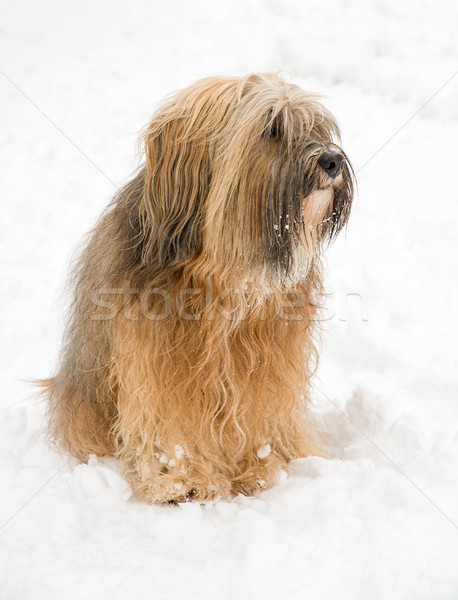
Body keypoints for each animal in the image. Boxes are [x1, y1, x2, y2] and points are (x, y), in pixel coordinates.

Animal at [43, 72, 354, 504]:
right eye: (272, 129)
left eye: (318, 128)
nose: (333, 160)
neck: (224, 268)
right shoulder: (158, 358)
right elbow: (169, 419)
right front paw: (180, 478)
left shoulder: (265, 358)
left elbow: (256, 410)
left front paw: (256, 468)